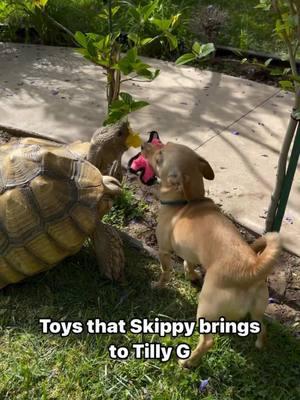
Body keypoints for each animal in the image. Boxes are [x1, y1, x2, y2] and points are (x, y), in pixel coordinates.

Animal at [142, 141, 280, 368]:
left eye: (159, 156)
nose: (145, 144)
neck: (189, 200)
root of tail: (251, 271)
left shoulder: (163, 250)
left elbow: (165, 272)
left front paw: (158, 285)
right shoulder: (190, 252)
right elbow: (189, 263)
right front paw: (191, 275)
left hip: (205, 308)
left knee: (208, 341)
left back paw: (188, 361)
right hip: (257, 311)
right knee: (263, 327)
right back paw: (259, 344)